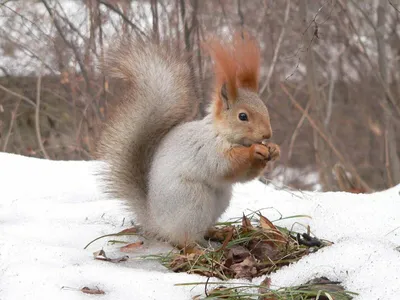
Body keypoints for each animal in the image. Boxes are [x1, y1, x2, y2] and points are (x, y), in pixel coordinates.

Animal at [96, 32, 282, 248]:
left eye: (265, 108)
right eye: (242, 116)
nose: (267, 135)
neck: (221, 133)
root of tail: (157, 223)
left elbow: (245, 175)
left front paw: (274, 149)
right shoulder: (207, 149)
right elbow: (225, 165)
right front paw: (255, 151)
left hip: (219, 200)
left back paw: (217, 233)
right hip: (192, 202)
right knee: (184, 239)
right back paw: (197, 249)